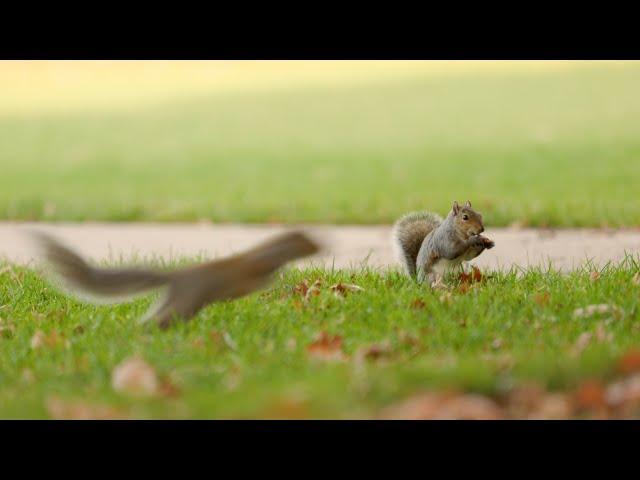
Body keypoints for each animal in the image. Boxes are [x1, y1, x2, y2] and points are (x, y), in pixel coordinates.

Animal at [31, 230, 320, 328]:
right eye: (309, 242)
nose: (324, 245)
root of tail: (176, 278)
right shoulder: (252, 269)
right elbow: (256, 279)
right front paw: (276, 278)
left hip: (176, 301)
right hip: (186, 301)